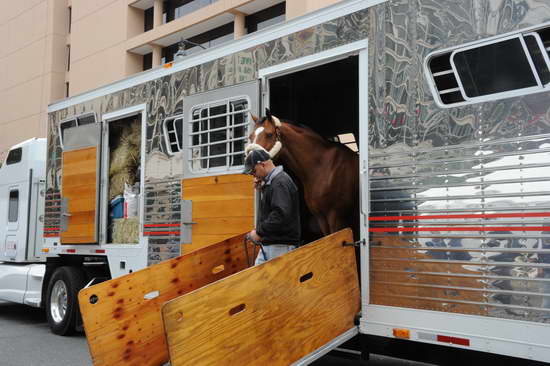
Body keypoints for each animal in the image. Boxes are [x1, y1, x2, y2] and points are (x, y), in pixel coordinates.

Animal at [249, 110, 362, 239]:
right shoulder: (321, 218)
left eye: (269, 134)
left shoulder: (336, 216)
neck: (322, 166)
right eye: (250, 136)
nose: (252, 163)